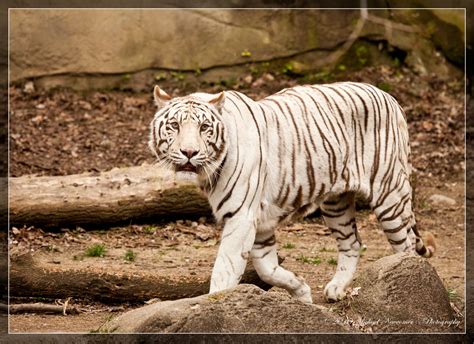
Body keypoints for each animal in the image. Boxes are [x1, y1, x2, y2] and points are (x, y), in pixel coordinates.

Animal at [148, 83, 434, 304]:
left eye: (205, 128)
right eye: (174, 126)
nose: (189, 152)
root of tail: (391, 98)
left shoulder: (241, 218)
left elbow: (225, 270)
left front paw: (214, 304)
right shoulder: (260, 224)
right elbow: (267, 269)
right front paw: (302, 292)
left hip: (390, 195)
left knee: (407, 248)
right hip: (336, 203)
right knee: (352, 242)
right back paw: (336, 289)